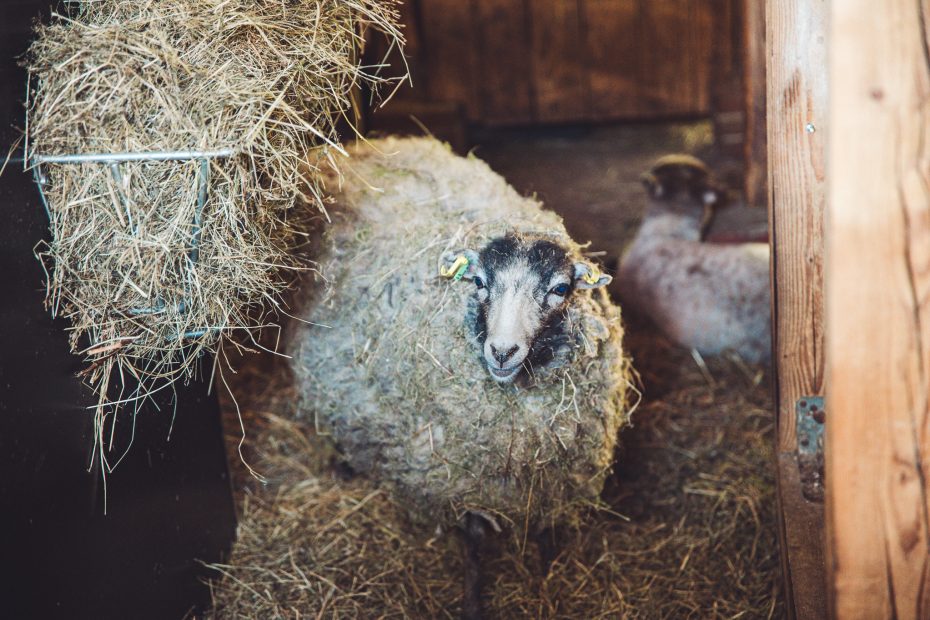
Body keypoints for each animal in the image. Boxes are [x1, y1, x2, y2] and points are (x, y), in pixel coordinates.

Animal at [287, 136, 633, 618]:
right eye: (479, 282)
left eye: (560, 289)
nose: (502, 351)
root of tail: (358, 147)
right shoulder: (459, 482)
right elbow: (472, 546)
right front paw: (473, 601)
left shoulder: (554, 478)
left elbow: (546, 539)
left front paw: (547, 582)